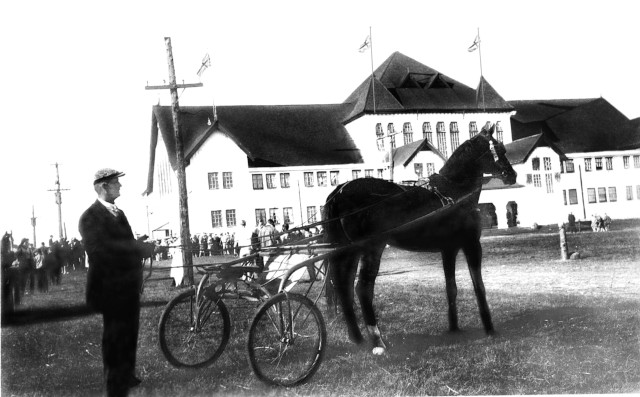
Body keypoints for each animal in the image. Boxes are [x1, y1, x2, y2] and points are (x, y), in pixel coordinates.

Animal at [322, 123, 516, 352]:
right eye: (498, 149)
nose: (511, 175)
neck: (454, 192)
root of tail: (339, 192)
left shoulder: (448, 249)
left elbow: (451, 288)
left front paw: (454, 329)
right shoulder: (471, 245)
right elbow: (479, 287)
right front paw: (490, 330)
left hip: (349, 252)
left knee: (344, 287)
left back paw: (358, 338)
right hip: (372, 248)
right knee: (362, 289)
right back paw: (378, 342)